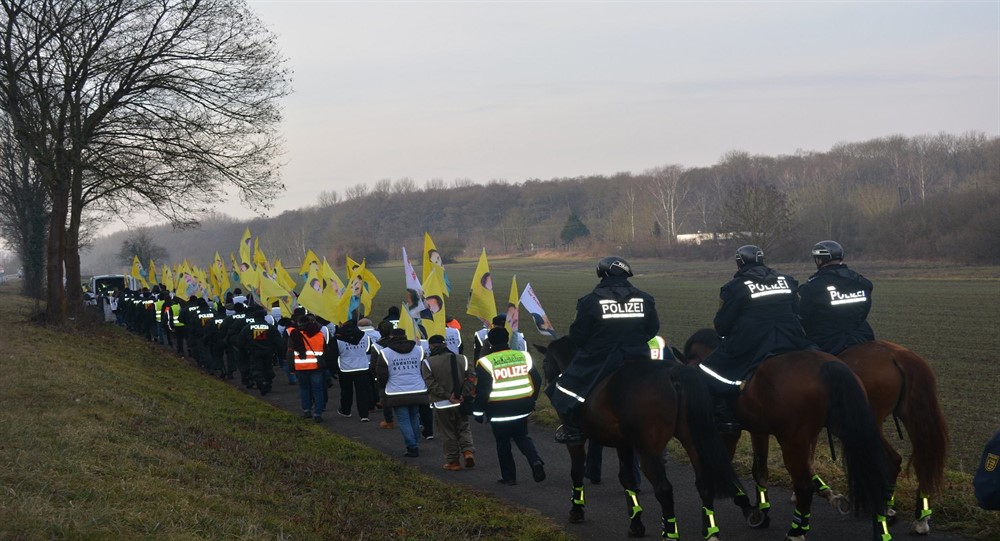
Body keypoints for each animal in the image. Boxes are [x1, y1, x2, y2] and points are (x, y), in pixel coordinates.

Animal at [540, 338, 744, 540]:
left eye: (545, 363)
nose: (546, 384)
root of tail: (674, 373)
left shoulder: (576, 440)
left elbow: (576, 472)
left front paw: (576, 511)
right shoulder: (623, 443)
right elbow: (627, 479)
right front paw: (636, 524)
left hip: (649, 451)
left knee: (664, 489)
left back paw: (670, 533)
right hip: (691, 442)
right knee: (704, 485)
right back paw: (711, 532)